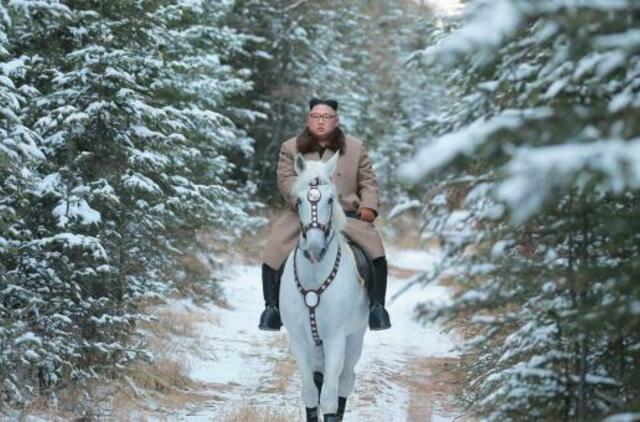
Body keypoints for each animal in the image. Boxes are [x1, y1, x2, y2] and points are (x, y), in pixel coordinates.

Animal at [280, 150, 370, 420]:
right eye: (299, 201)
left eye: (330, 200)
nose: (314, 249)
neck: (314, 275)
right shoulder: (299, 339)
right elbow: (311, 393)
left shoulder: (335, 338)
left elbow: (329, 399)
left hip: (354, 337)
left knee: (345, 382)